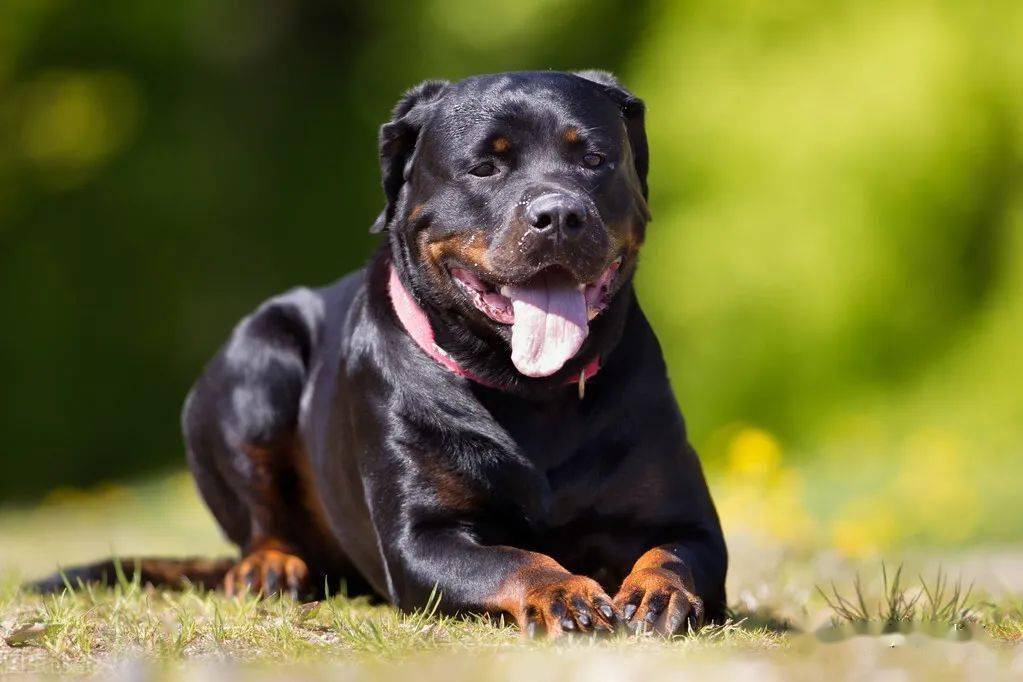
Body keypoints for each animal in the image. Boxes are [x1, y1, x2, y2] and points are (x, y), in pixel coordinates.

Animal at [36, 72, 728, 638]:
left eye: (594, 158)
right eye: (485, 167)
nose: (558, 213)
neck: (531, 396)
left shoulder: (688, 518)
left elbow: (675, 551)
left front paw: (658, 592)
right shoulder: (421, 540)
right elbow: (513, 558)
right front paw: (564, 591)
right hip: (255, 363)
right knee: (262, 522)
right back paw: (269, 567)